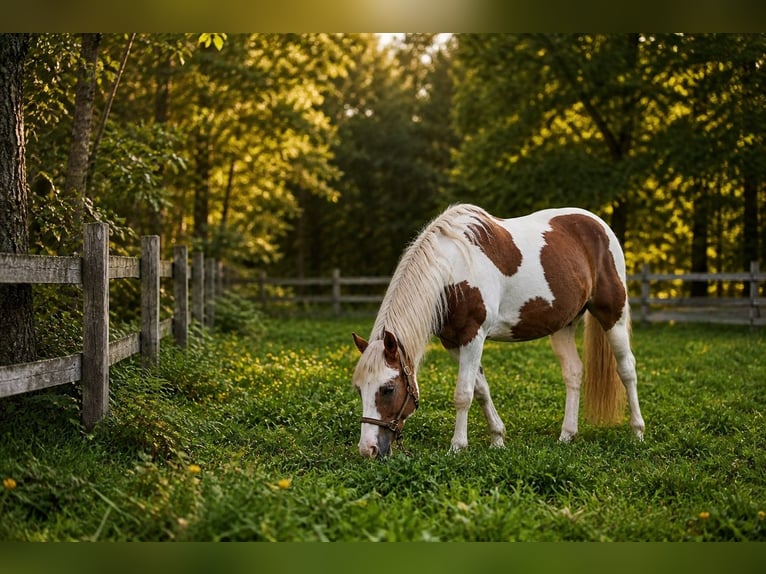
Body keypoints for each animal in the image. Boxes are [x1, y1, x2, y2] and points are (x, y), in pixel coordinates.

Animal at [351, 203, 645, 458]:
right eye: (359, 389)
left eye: (388, 389)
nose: (368, 450)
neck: (452, 269)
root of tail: (598, 224)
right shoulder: (453, 341)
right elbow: (481, 389)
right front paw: (498, 438)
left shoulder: (473, 336)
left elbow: (464, 393)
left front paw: (457, 446)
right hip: (563, 325)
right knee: (573, 372)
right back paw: (567, 435)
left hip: (613, 315)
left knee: (627, 369)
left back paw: (637, 432)